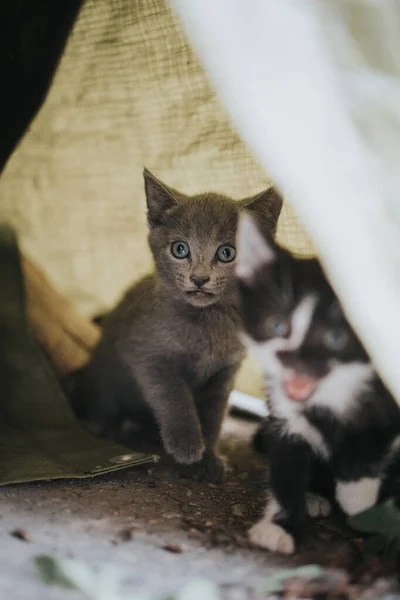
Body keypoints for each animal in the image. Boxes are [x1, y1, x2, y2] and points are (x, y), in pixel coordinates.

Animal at [71, 169, 282, 482]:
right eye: (180, 249)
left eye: (227, 253)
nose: (199, 278)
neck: (209, 325)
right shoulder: (145, 354)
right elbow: (174, 395)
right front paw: (187, 446)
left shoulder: (224, 373)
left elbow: (213, 415)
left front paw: (209, 457)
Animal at [234, 213, 400, 556]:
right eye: (276, 325)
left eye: (336, 338)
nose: (291, 361)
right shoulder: (284, 418)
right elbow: (285, 468)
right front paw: (280, 525)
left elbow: (376, 434)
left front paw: (357, 497)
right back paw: (315, 497)